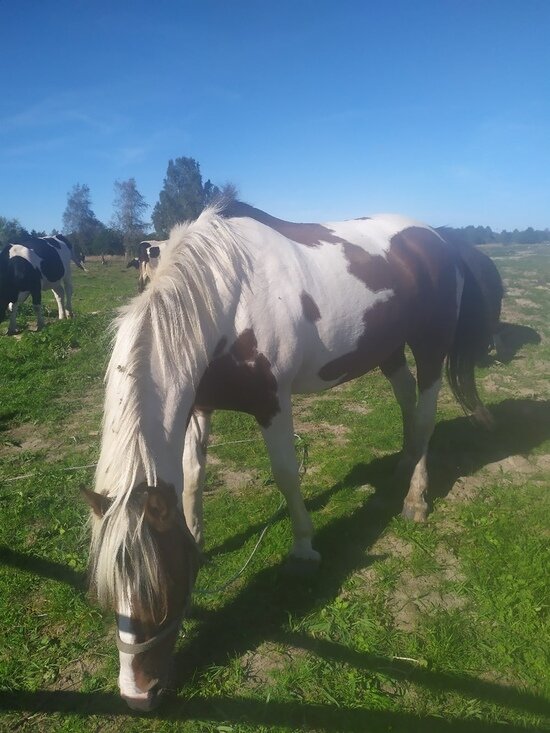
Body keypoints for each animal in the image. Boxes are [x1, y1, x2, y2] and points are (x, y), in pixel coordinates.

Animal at [83, 201, 494, 711]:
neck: (225, 300)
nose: (139, 696)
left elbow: (285, 474)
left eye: (164, 591)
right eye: (106, 596)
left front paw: (303, 549)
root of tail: (440, 239)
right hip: (387, 349)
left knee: (424, 417)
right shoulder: (199, 405)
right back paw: (402, 466)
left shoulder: (272, 403)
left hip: (430, 348)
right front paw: (198, 537)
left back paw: (415, 498)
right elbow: (194, 475)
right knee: (406, 405)